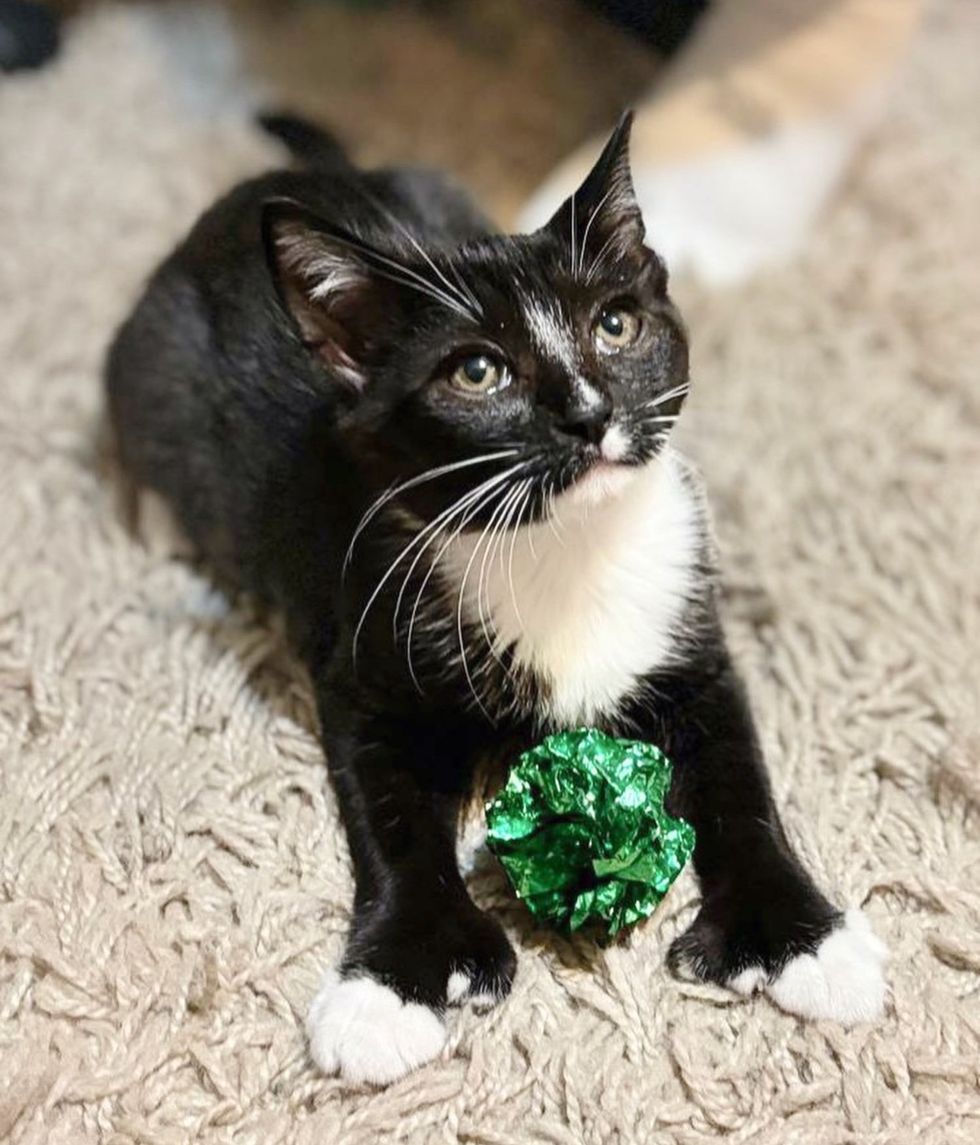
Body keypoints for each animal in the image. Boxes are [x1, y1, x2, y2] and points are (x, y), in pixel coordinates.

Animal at [107, 111, 888, 1085]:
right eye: (477, 373)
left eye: (616, 323)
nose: (590, 413)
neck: (560, 541)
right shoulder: (365, 641)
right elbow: (390, 812)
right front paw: (396, 978)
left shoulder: (691, 639)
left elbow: (741, 779)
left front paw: (802, 934)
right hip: (147, 363)